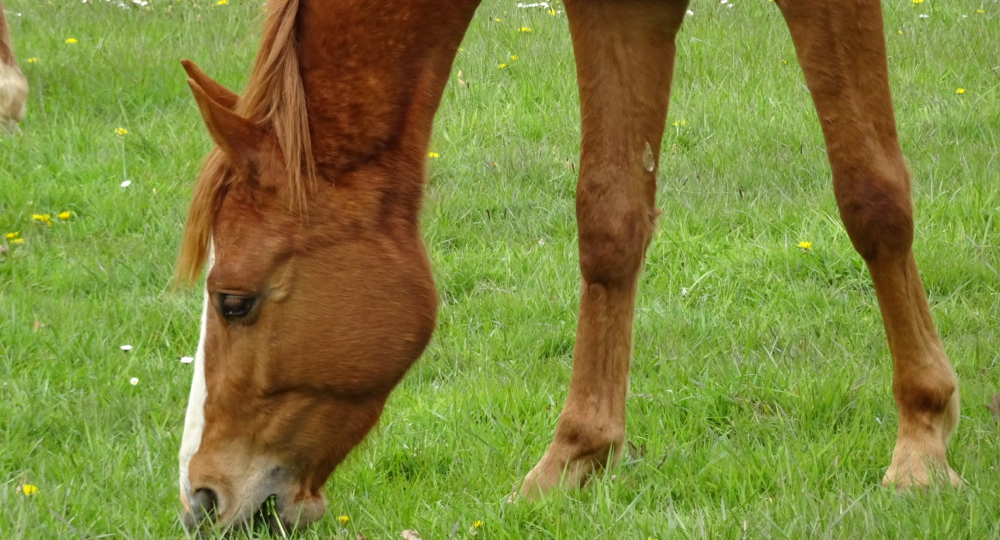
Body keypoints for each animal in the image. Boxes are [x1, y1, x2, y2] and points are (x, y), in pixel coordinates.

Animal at [176, 0, 964, 532]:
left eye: (234, 300)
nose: (201, 499)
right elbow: (610, 218)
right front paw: (573, 458)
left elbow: (872, 198)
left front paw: (922, 443)